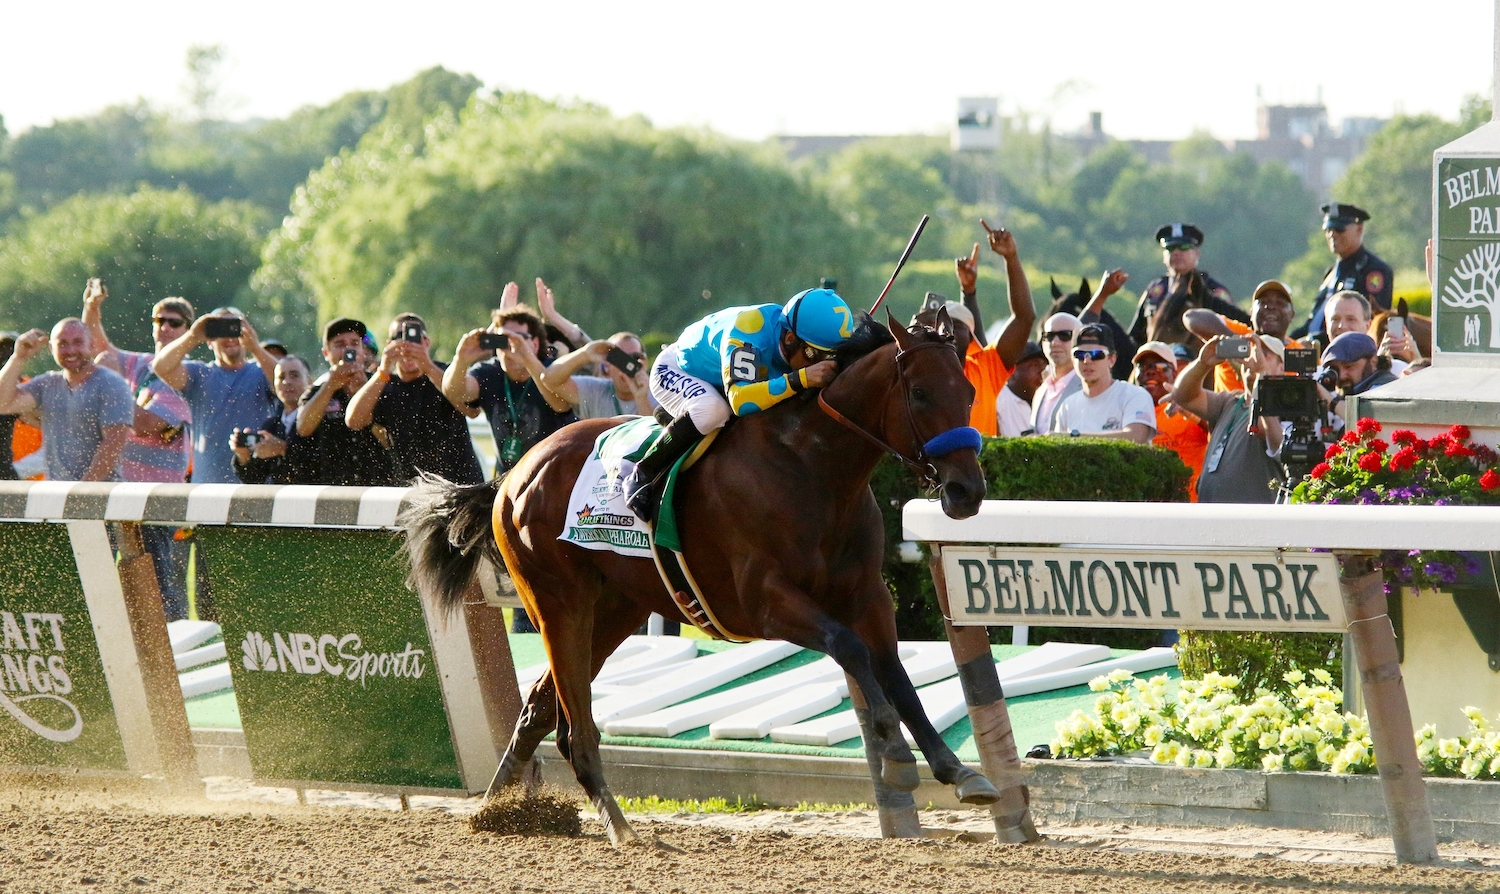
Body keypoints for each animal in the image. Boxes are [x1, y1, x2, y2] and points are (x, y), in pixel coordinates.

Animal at [405, 312, 1002, 846]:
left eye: (969, 391)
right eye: (920, 394)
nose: (966, 491)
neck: (811, 467)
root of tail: (513, 473)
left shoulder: (866, 594)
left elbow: (896, 673)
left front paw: (959, 771)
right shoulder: (764, 602)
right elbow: (850, 648)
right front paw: (897, 758)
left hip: (614, 610)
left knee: (539, 709)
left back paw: (496, 811)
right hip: (557, 602)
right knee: (576, 726)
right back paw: (620, 828)